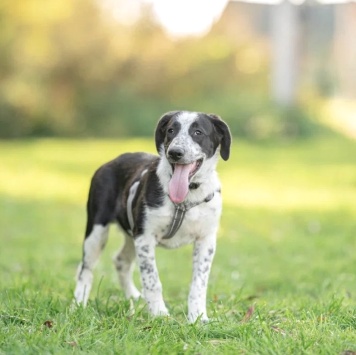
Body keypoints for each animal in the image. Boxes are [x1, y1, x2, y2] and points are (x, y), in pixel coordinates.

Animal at [73, 110, 232, 322]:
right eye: (171, 131)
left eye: (198, 132)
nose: (175, 153)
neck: (186, 198)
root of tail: (111, 161)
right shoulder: (145, 237)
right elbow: (152, 280)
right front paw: (159, 314)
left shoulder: (206, 240)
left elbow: (199, 284)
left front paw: (198, 318)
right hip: (97, 230)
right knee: (86, 269)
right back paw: (78, 304)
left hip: (131, 235)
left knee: (120, 260)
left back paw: (134, 297)